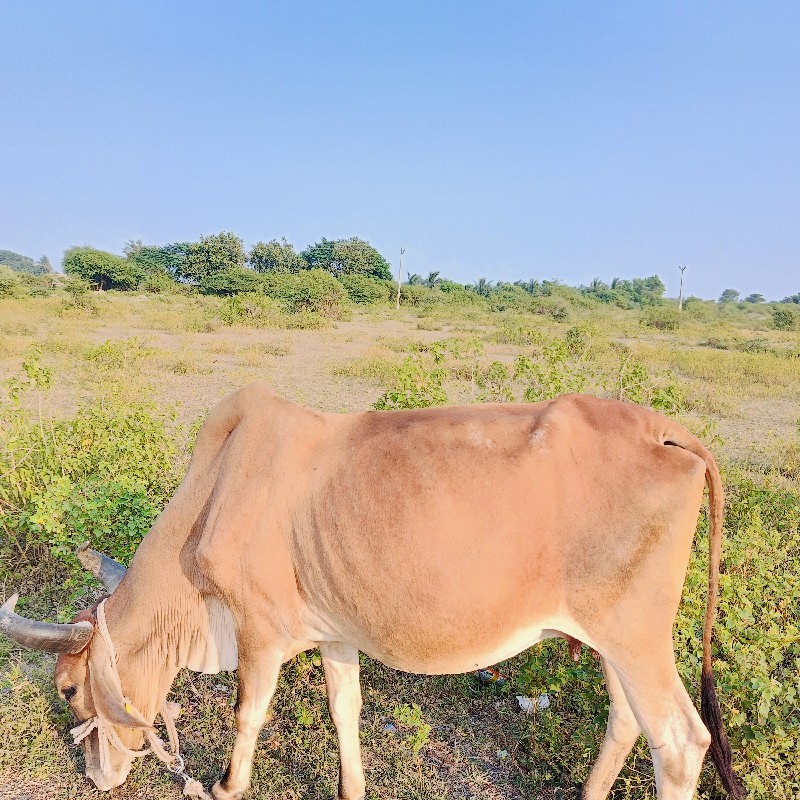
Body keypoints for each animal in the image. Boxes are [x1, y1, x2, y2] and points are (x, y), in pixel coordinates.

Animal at [3, 384, 748, 796]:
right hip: (615, 641)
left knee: (680, 744)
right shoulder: (333, 631)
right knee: (627, 721)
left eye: (67, 688)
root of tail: (663, 429)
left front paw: (224, 785)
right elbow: (345, 711)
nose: (95, 776)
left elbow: (249, 714)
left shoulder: (260, 632)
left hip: (637, 638)